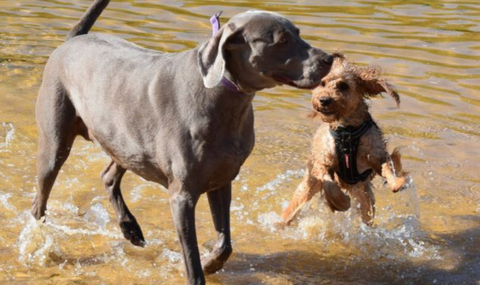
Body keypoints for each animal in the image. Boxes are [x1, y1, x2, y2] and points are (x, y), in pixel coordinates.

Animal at [32, 1, 334, 282]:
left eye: (298, 33)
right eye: (282, 40)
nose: (329, 58)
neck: (223, 100)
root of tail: (73, 39)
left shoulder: (222, 180)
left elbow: (224, 243)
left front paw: (212, 263)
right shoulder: (182, 194)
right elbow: (191, 254)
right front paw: (198, 268)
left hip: (126, 143)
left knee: (108, 176)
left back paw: (130, 228)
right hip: (56, 143)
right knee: (41, 199)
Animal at [282, 54, 408, 225]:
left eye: (343, 86)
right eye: (322, 83)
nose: (323, 100)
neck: (347, 132)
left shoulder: (376, 155)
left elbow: (387, 167)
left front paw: (396, 183)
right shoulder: (323, 161)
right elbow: (327, 181)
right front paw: (340, 202)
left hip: (364, 196)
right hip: (306, 188)